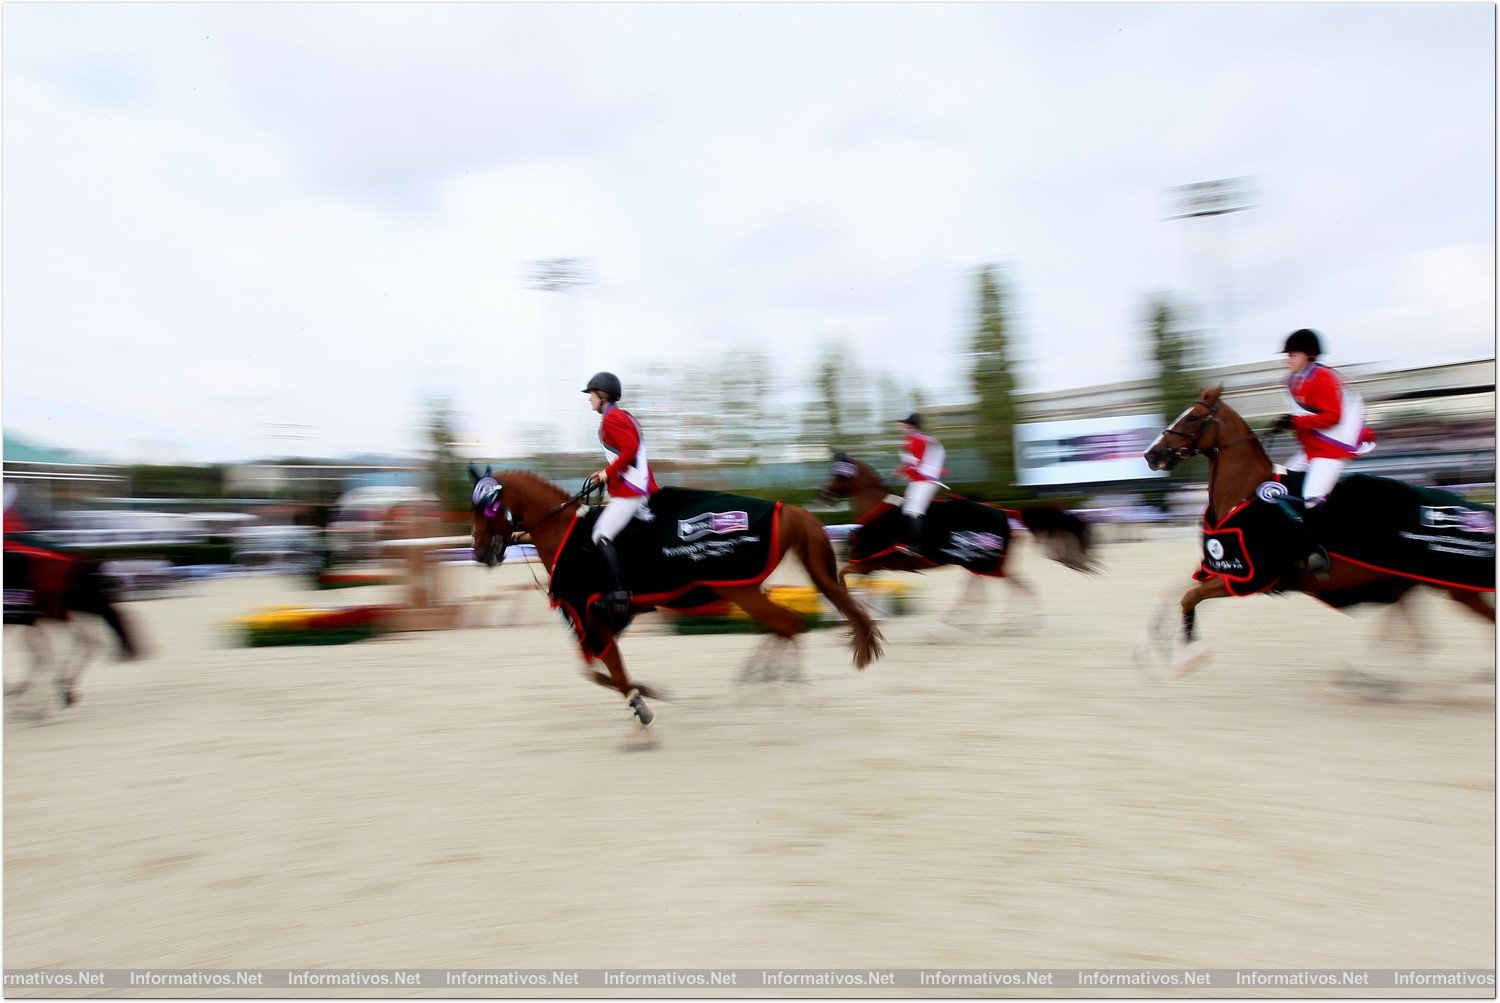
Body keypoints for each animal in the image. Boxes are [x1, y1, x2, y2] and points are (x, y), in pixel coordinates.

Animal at [468, 461, 882, 728]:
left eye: (486, 509)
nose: (481, 554)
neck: (566, 533)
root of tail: (786, 509)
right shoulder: (603, 618)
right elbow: (595, 669)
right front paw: (648, 691)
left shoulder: (591, 614)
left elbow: (610, 669)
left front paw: (640, 703)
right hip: (746, 591)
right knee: (783, 626)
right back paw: (761, 681)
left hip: (742, 590)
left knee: (790, 624)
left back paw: (787, 689)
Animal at [816, 452, 1098, 629]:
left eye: (838, 474)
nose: (824, 495)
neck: (877, 509)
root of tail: (1008, 513)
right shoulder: (872, 565)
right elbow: (858, 583)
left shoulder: (870, 561)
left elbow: (843, 576)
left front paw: (851, 613)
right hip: (979, 563)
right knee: (1008, 590)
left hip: (982, 562)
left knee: (999, 591)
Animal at [1140, 386, 1494, 683]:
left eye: (1193, 417)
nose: (1151, 454)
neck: (1245, 495)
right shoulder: (1224, 569)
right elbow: (1173, 593)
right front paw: (1150, 650)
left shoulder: (1249, 577)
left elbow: (1188, 597)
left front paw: (1188, 655)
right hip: (1402, 583)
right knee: (1415, 635)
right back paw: (1374, 677)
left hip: (1454, 588)